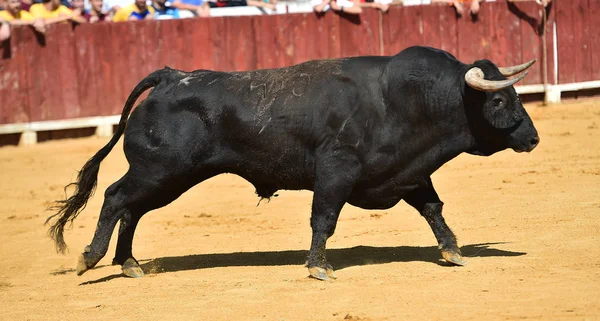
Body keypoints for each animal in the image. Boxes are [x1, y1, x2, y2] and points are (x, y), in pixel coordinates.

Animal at [47, 46, 540, 278]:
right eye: (500, 99)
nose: (533, 138)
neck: (408, 100)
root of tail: (171, 76)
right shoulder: (337, 170)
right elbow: (324, 217)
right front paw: (318, 266)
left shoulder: (408, 172)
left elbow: (434, 210)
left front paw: (454, 251)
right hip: (160, 171)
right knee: (116, 198)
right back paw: (90, 258)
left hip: (167, 177)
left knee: (132, 209)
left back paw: (129, 263)